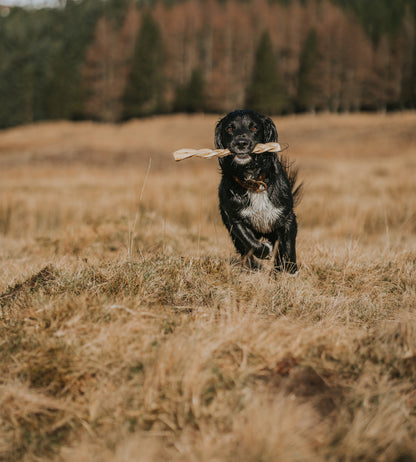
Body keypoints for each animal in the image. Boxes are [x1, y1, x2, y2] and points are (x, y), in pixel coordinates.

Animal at [214, 109, 302, 272]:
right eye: (229, 129)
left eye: (254, 127)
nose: (241, 143)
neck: (253, 182)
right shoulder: (234, 218)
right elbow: (249, 242)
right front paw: (264, 250)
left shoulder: (287, 217)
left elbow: (287, 246)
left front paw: (290, 270)